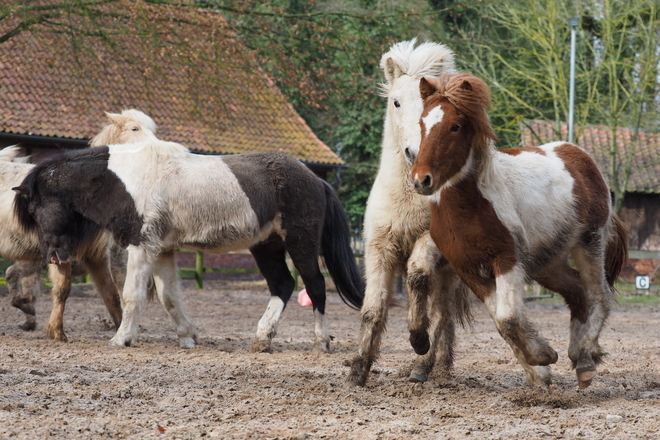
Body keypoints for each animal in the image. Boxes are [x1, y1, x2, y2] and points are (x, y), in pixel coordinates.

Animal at [410, 73, 628, 388]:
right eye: (421, 124)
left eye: (455, 126)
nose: (421, 180)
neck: (473, 204)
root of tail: (579, 154)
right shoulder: (467, 267)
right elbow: (500, 319)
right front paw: (540, 369)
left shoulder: (507, 259)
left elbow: (508, 318)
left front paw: (543, 357)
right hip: (546, 262)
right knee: (577, 291)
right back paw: (576, 354)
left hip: (590, 242)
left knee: (599, 295)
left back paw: (586, 360)